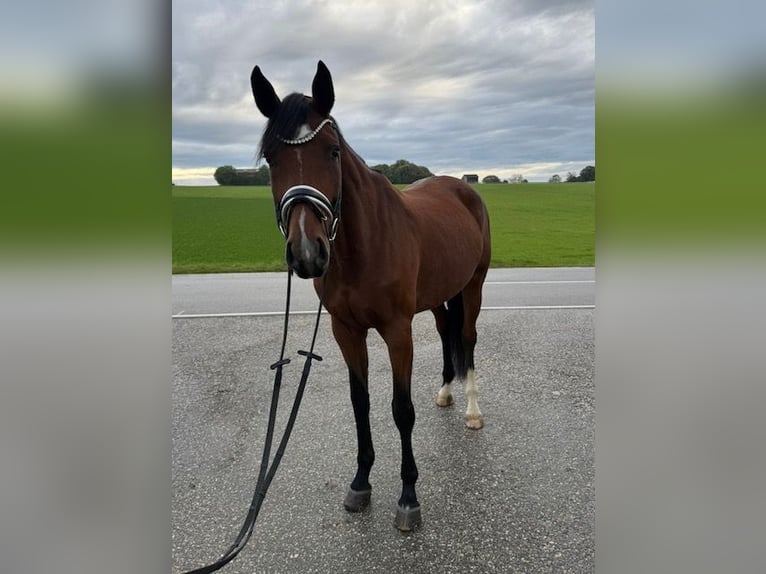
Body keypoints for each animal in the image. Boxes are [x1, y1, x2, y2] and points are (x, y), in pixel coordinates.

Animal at [250, 60, 491, 531]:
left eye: (332, 152)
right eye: (271, 157)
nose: (307, 253)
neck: (363, 246)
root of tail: (462, 187)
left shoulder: (398, 330)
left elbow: (401, 409)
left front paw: (409, 496)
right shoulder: (346, 330)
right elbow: (359, 402)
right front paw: (361, 482)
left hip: (473, 286)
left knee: (468, 339)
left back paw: (472, 410)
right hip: (439, 296)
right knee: (447, 333)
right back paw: (446, 392)